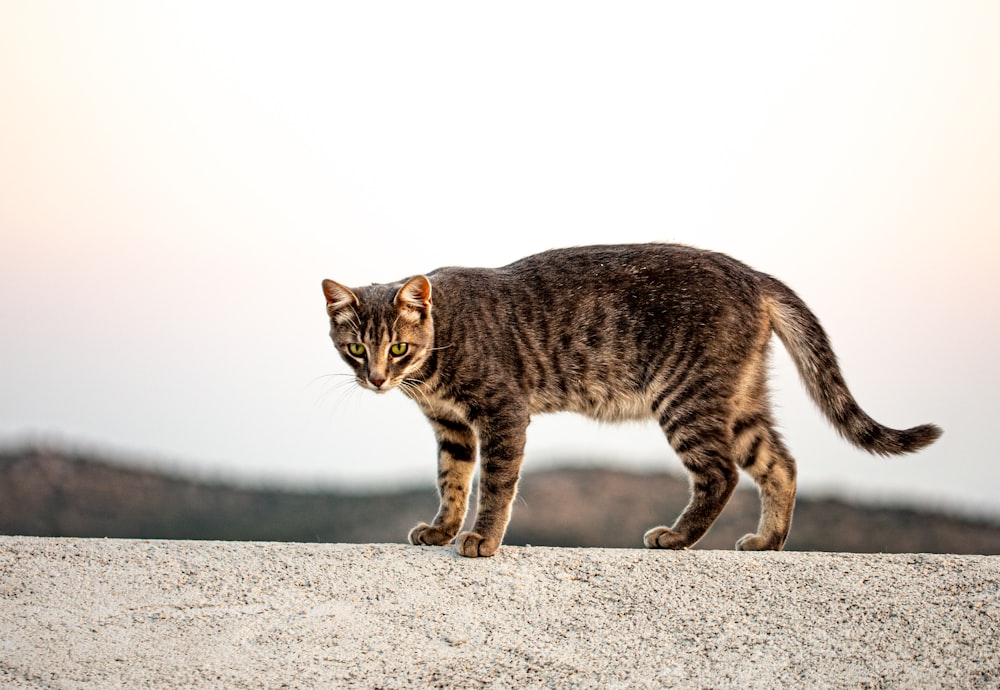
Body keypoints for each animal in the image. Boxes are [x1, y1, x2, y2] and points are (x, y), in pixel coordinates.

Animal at [324, 245, 940, 556]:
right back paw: (768, 540)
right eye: (355, 348)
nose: (375, 379)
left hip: (686, 397)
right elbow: (451, 482)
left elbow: (495, 487)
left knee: (721, 473)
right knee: (780, 464)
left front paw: (481, 540)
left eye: (398, 347)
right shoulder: (451, 428)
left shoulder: (503, 414)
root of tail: (754, 274)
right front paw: (444, 529)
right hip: (739, 401)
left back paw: (678, 537)